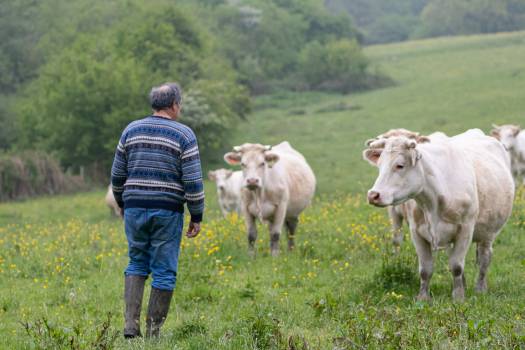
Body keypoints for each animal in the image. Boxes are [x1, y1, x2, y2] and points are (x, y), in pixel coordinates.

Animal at [362, 130, 512, 300]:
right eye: (379, 165)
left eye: (400, 165)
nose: (373, 195)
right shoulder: (416, 232)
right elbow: (426, 269)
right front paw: (423, 298)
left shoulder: (466, 229)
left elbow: (456, 266)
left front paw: (458, 297)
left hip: (489, 232)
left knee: (484, 258)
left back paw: (480, 288)